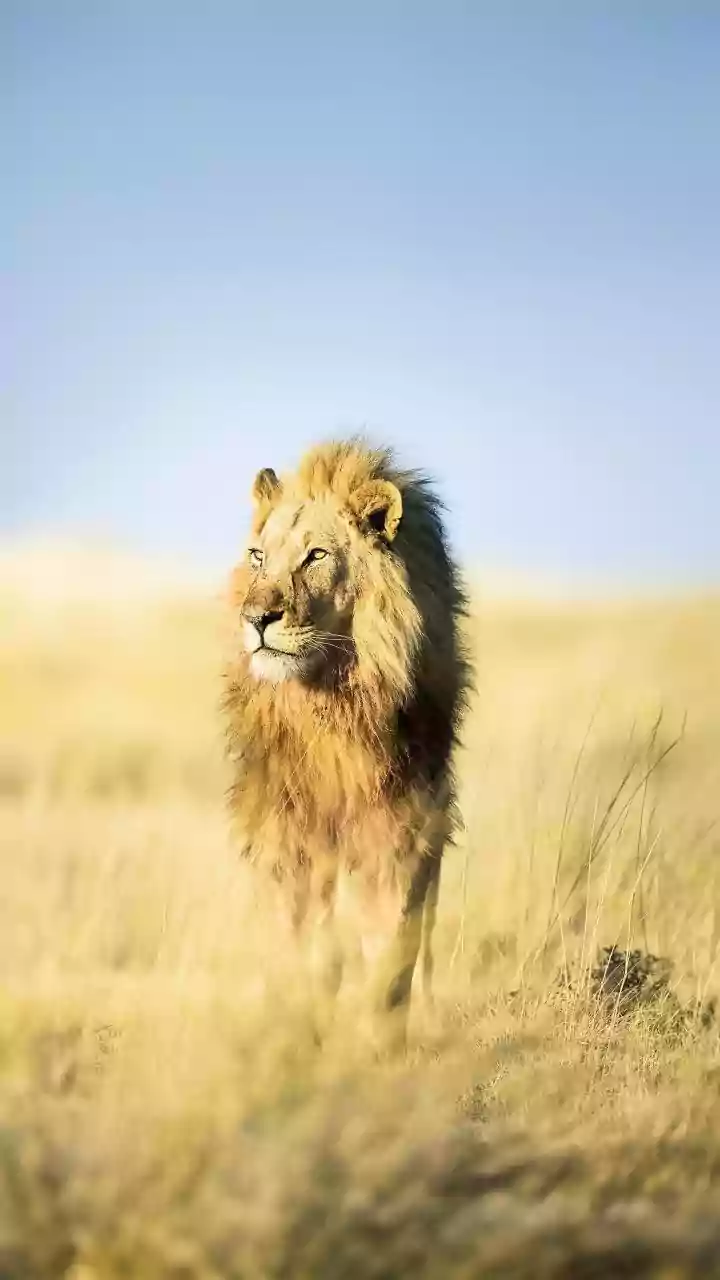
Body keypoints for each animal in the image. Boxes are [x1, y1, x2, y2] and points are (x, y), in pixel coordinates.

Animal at [224, 438, 472, 1044]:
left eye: (315, 556)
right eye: (258, 557)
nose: (256, 617)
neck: (332, 704)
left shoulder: (406, 822)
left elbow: (393, 943)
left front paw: (376, 1036)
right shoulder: (286, 830)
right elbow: (304, 943)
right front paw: (300, 1025)